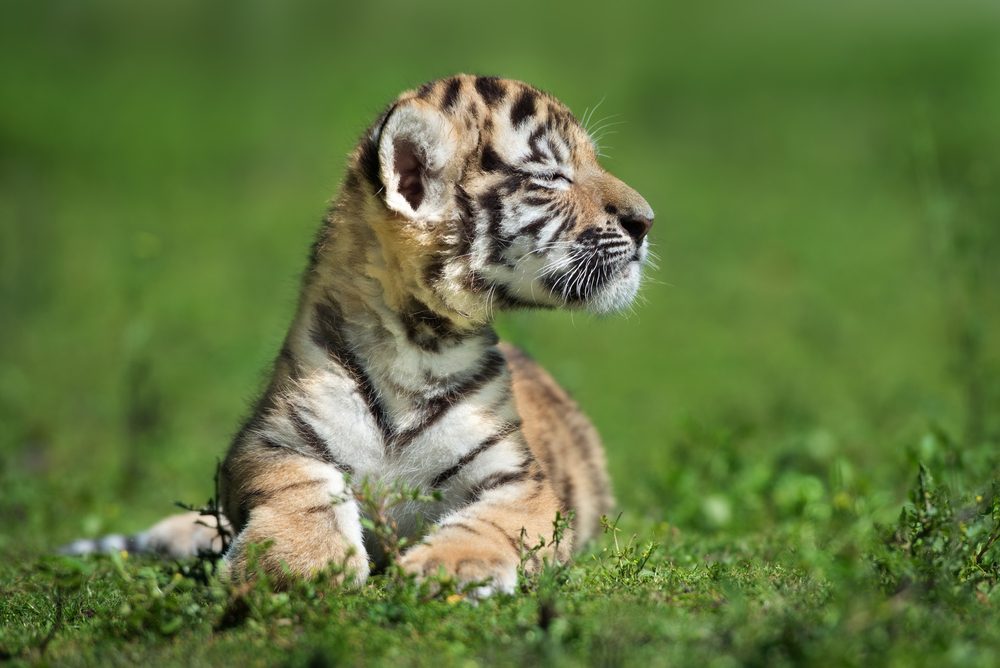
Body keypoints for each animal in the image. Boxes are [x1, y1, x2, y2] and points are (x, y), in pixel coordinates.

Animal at [63, 75, 654, 596]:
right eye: (551, 177)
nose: (647, 221)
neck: (417, 346)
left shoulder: (522, 479)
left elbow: (500, 522)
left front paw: (449, 567)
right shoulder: (267, 441)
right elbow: (303, 485)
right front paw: (300, 564)